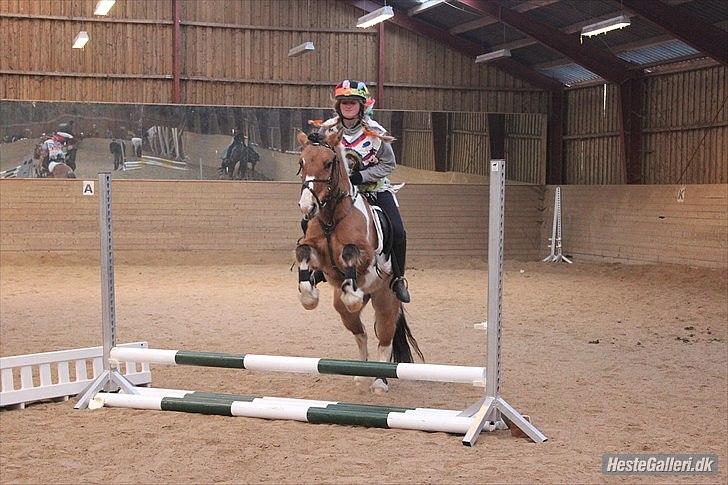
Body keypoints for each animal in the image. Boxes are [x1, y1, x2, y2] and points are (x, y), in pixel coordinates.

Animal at [294, 130, 422, 395]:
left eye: (328, 163)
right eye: (302, 162)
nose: (307, 206)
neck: (332, 217)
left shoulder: (366, 255)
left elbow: (351, 252)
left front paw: (351, 294)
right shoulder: (317, 254)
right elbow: (302, 251)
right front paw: (309, 296)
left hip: (386, 301)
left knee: (384, 340)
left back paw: (380, 382)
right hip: (343, 311)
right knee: (361, 334)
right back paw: (361, 374)